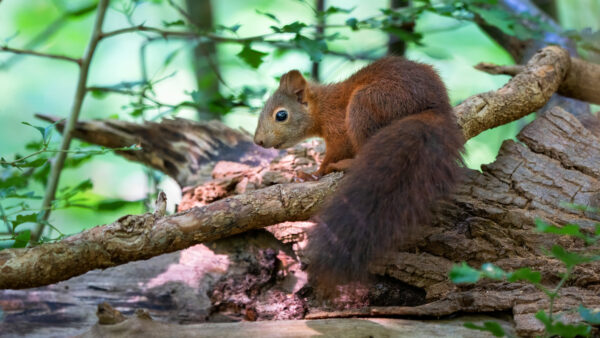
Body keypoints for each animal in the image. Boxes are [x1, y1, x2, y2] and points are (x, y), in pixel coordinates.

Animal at [253, 56, 464, 290]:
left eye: (281, 115)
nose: (258, 141)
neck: (322, 107)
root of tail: (434, 108)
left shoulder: (338, 130)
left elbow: (333, 155)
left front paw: (314, 174)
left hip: (365, 104)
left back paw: (346, 164)